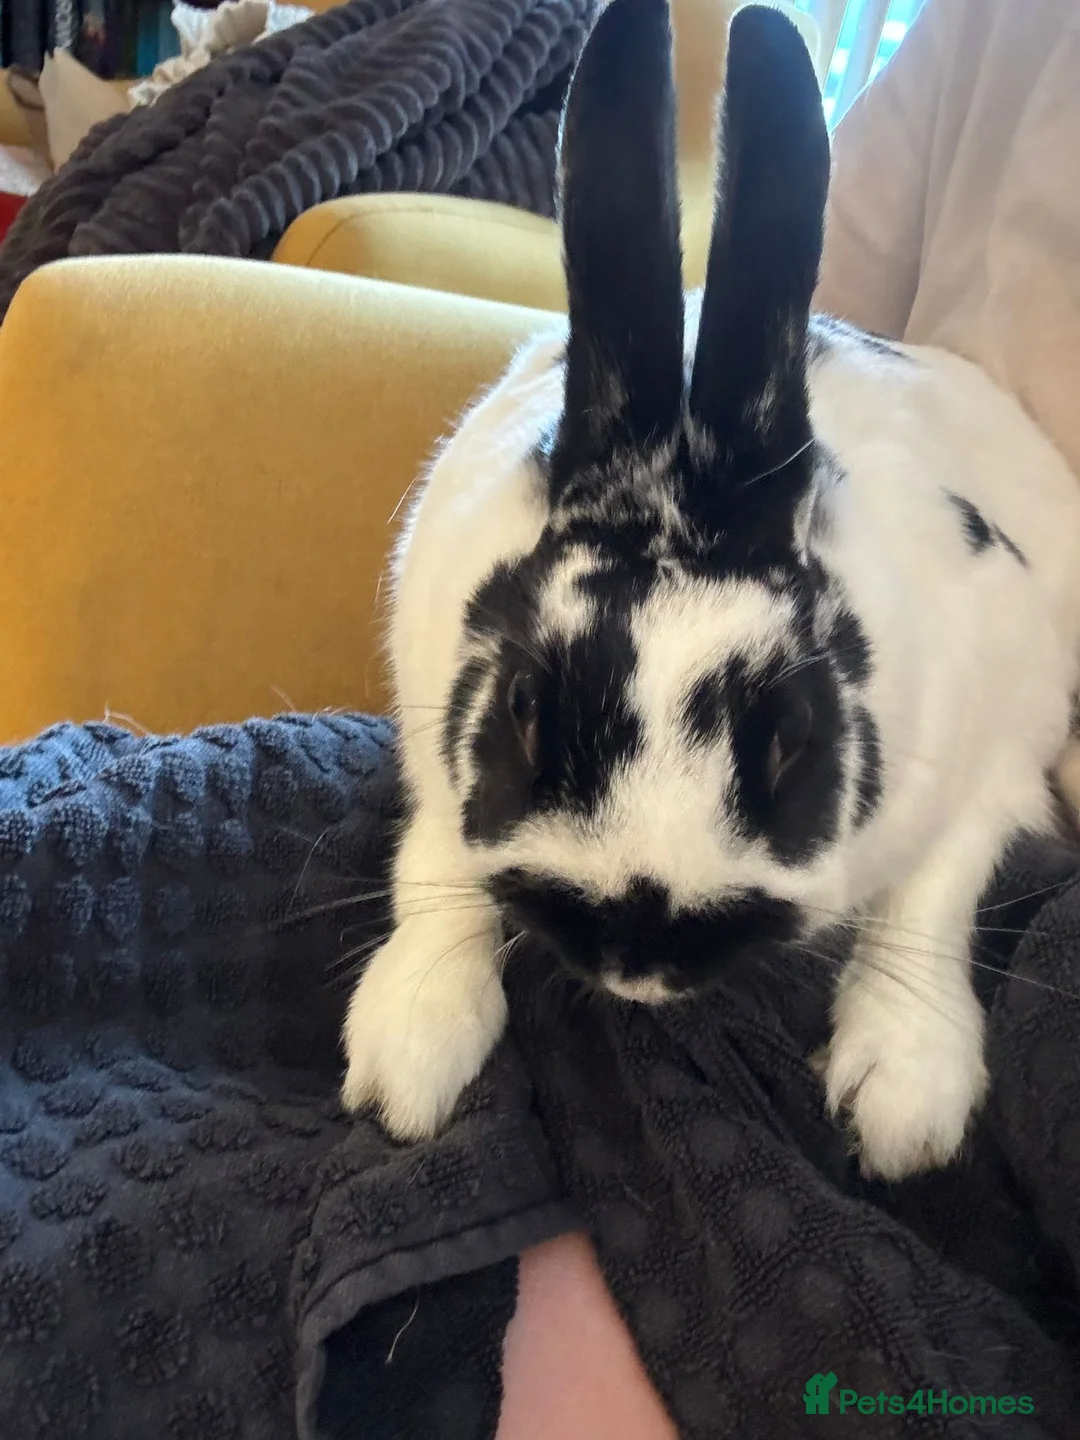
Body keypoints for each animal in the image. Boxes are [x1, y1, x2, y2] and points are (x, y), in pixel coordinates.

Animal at [341, 0, 1080, 1181]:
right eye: (525, 708)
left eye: (791, 738)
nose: (639, 961)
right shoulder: (436, 733)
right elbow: (435, 866)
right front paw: (410, 1053)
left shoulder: (1001, 742)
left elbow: (930, 900)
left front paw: (903, 1097)